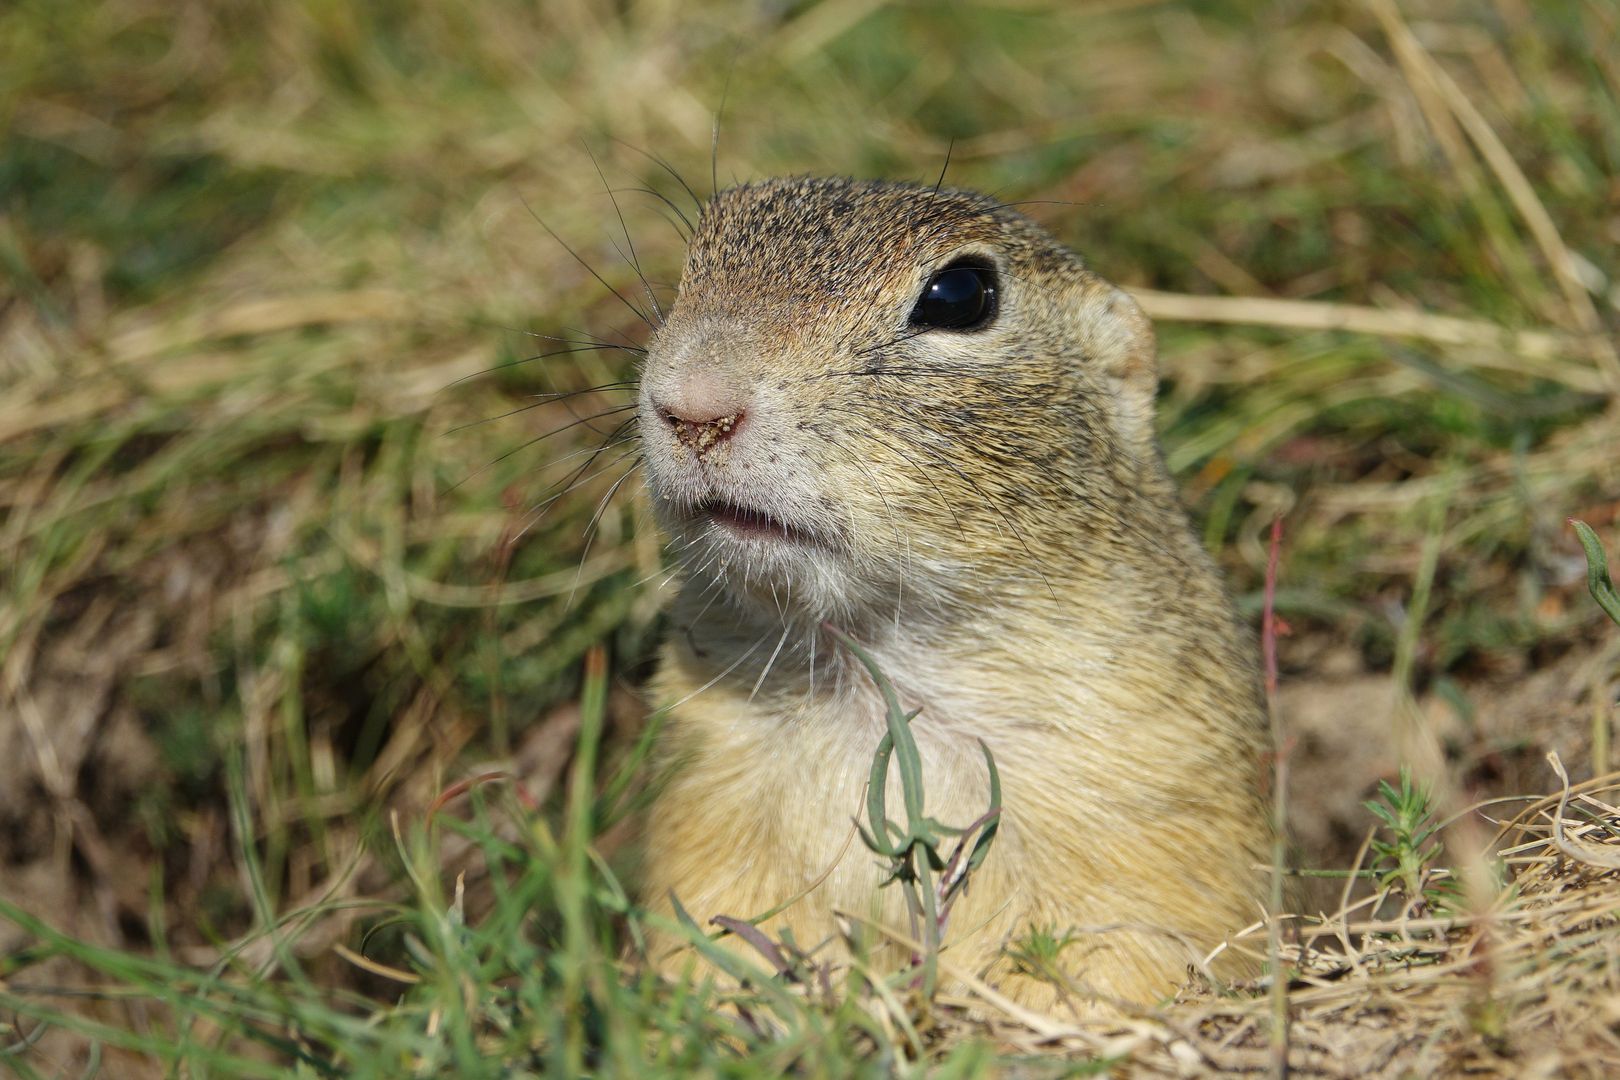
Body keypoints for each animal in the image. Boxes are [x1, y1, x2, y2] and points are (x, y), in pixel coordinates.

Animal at [628, 175, 1263, 1003]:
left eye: (960, 294)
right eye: (694, 260)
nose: (692, 406)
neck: (874, 665)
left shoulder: (1147, 787)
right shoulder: (710, 783)